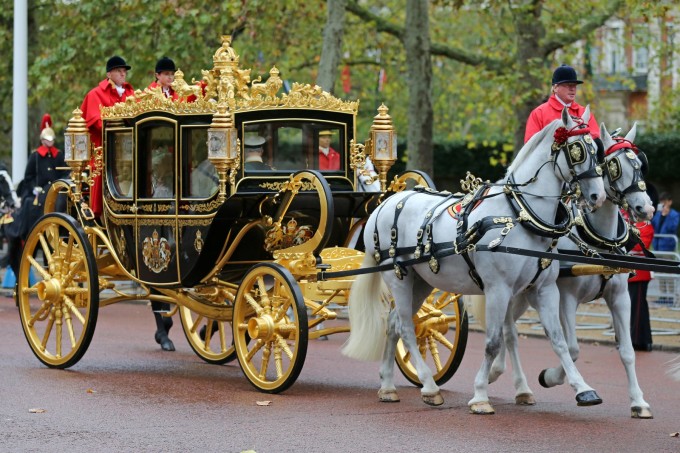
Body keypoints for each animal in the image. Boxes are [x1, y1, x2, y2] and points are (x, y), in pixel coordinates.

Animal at [340, 106, 604, 414]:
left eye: (596, 150)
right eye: (577, 150)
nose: (597, 196)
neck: (520, 215)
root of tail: (384, 204)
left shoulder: (542, 290)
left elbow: (558, 341)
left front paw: (582, 389)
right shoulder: (498, 289)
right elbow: (492, 342)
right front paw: (480, 395)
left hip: (421, 282)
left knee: (393, 323)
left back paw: (388, 386)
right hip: (398, 278)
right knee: (405, 327)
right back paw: (429, 386)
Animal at [492, 121, 656, 416]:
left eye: (640, 163)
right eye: (613, 165)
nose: (645, 208)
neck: (599, 240)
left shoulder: (620, 298)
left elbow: (627, 351)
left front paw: (638, 402)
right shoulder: (566, 297)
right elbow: (572, 347)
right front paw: (551, 377)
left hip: (524, 296)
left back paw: (510, 381)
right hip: (512, 291)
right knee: (509, 333)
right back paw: (514, 382)